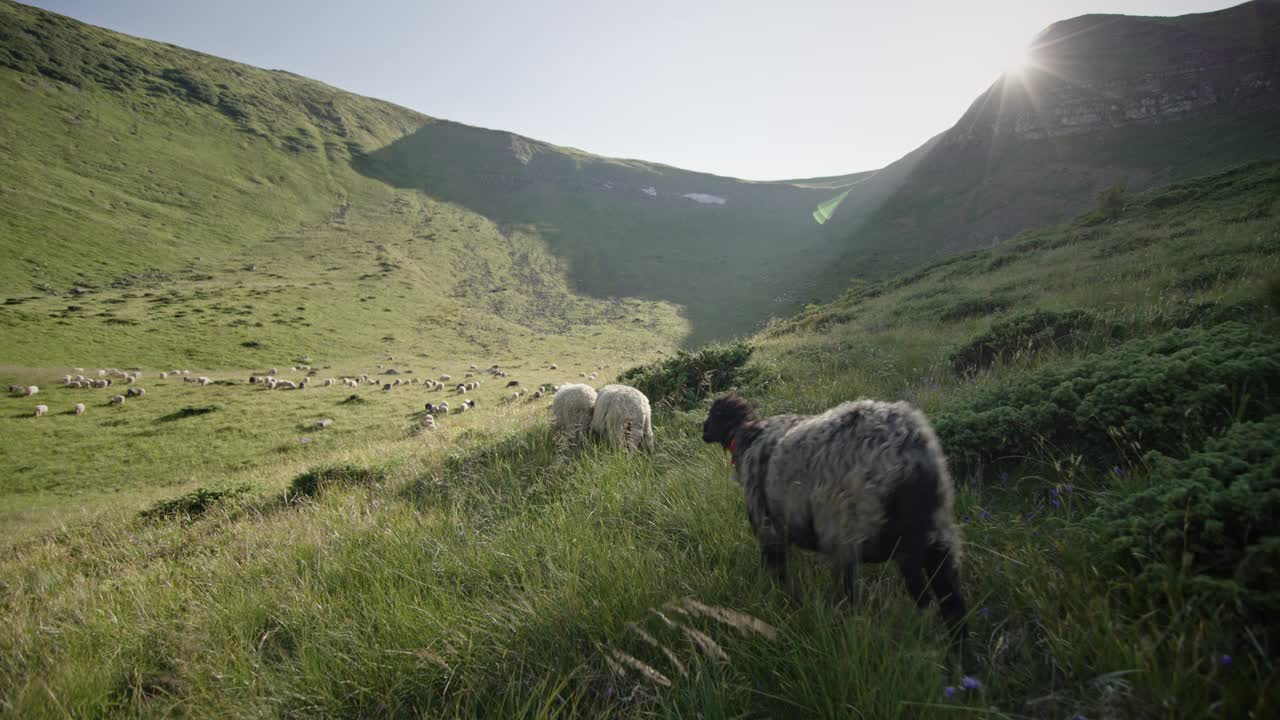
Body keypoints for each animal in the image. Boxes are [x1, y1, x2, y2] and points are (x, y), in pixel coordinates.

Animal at [706, 394, 962, 661]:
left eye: (713, 415)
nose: (703, 432)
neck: (749, 436)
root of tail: (910, 450)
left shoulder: (768, 529)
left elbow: (778, 573)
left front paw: (783, 604)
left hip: (857, 534)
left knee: (890, 599)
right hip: (936, 535)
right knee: (952, 606)